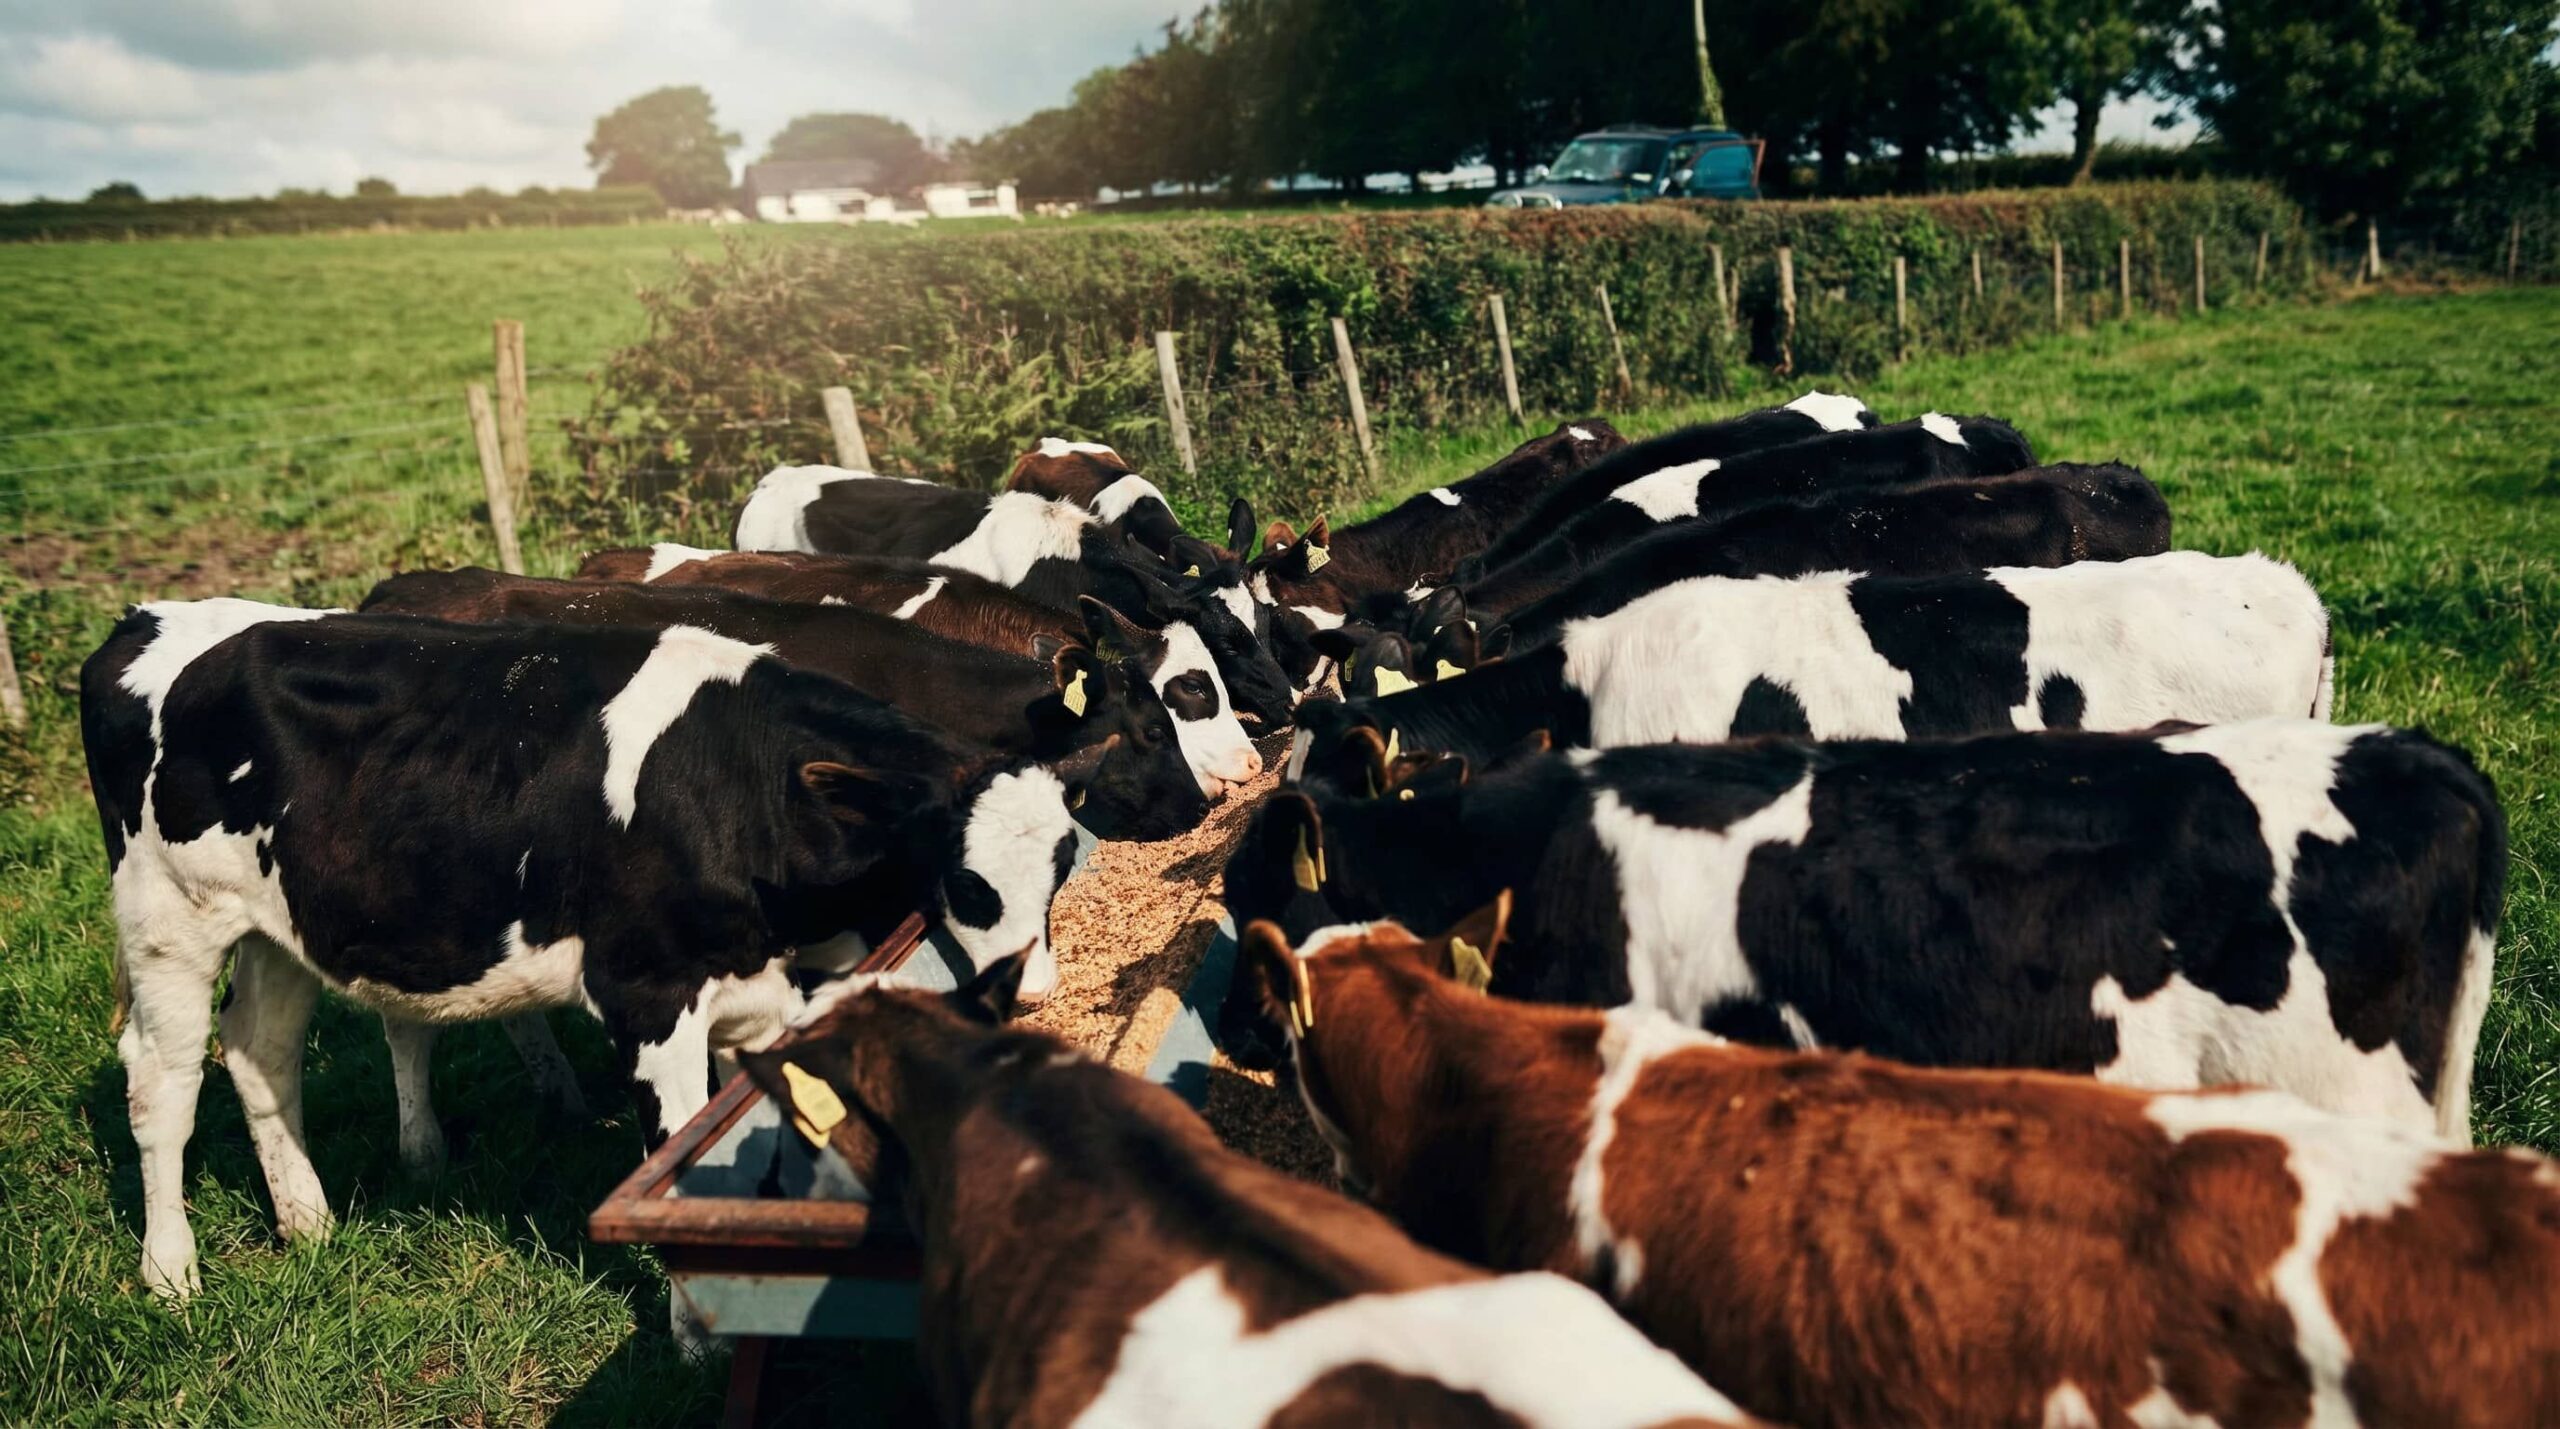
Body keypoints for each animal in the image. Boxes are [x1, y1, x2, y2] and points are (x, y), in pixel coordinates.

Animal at [82, 599, 1095, 1298]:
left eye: (1062, 863)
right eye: (967, 879)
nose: (1035, 990)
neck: (736, 791)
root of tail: (145, 620)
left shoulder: (766, 998)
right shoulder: (648, 997)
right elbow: (675, 1160)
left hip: (281, 926)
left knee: (260, 1050)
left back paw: (310, 1224)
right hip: (167, 922)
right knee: (162, 1085)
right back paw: (171, 1272)